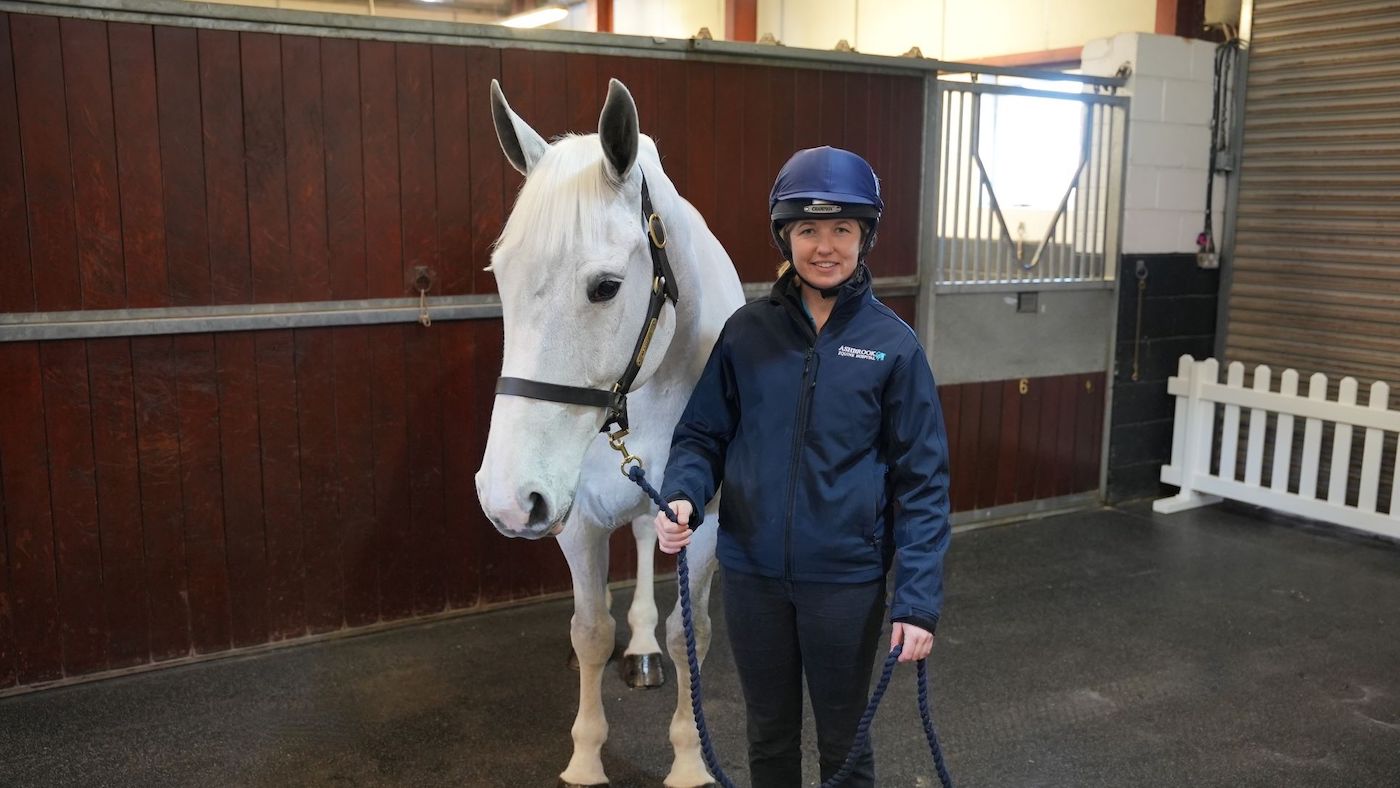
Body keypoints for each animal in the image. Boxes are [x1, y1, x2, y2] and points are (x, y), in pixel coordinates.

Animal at [474, 78, 745, 787]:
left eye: (605, 287)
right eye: (501, 277)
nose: (505, 500)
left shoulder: (704, 518)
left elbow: (689, 635)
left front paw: (689, 761)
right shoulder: (579, 521)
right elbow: (590, 631)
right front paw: (586, 759)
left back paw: (644, 648)